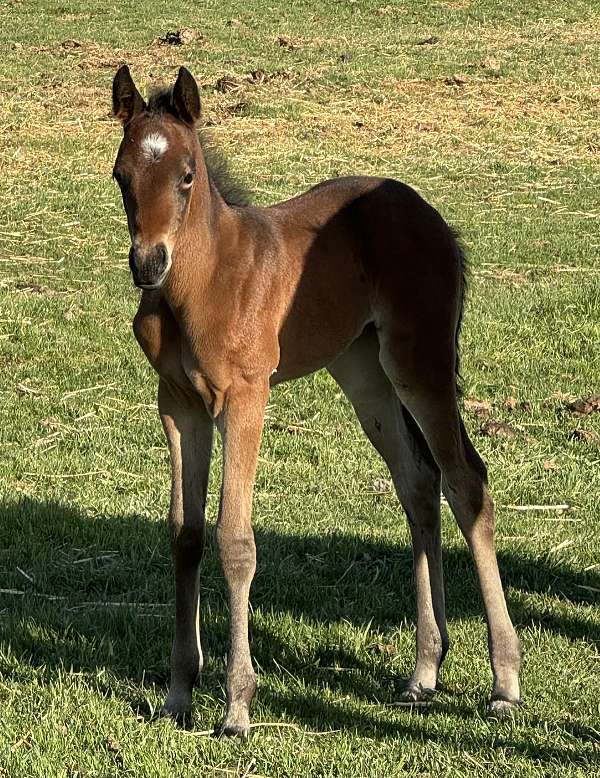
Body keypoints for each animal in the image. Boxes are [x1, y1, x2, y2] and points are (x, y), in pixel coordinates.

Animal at [112, 66, 520, 732]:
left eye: (187, 174)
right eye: (122, 175)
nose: (148, 264)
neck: (205, 282)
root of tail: (428, 214)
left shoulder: (244, 398)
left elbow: (234, 540)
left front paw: (237, 706)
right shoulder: (178, 404)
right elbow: (185, 534)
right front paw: (178, 693)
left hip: (419, 365)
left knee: (466, 481)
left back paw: (505, 680)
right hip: (363, 372)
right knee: (417, 481)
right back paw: (424, 671)